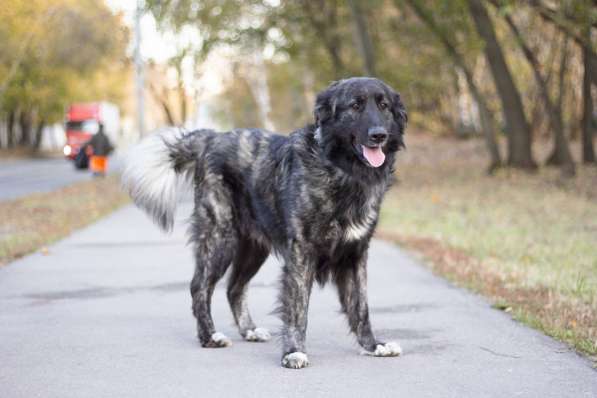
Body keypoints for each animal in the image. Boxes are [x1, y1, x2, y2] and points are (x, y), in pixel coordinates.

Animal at [120, 76, 406, 368]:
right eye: (355, 105)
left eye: (383, 105)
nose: (379, 135)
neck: (340, 170)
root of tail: (211, 138)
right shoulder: (301, 253)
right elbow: (298, 308)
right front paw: (293, 351)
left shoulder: (355, 254)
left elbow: (361, 306)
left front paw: (373, 345)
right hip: (220, 239)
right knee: (199, 287)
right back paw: (209, 336)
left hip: (254, 249)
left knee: (234, 288)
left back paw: (249, 330)